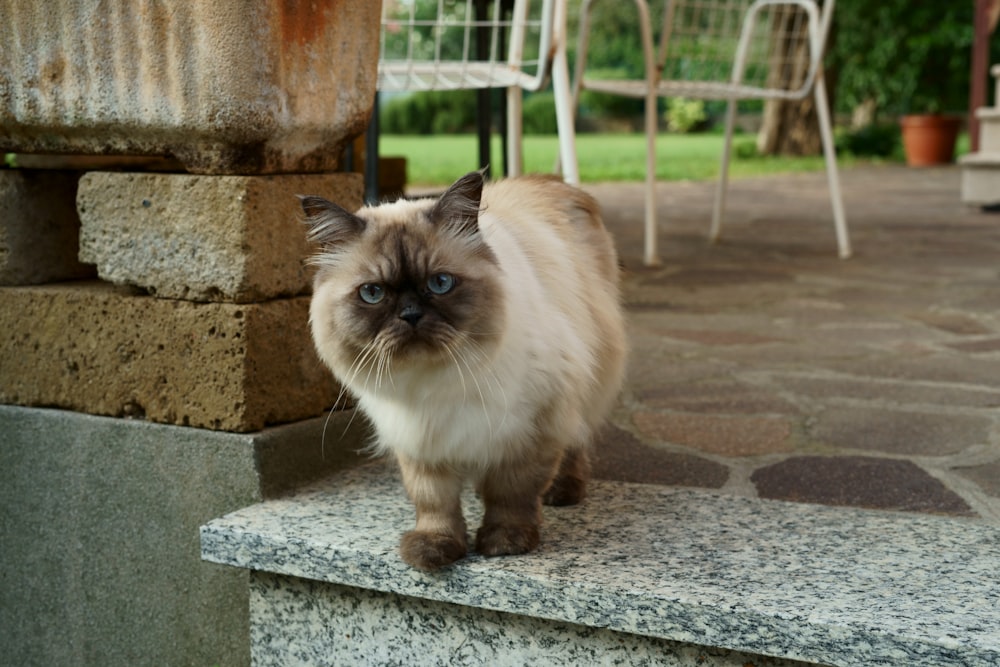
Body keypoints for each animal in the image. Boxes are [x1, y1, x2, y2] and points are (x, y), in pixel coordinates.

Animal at [300, 170, 624, 572]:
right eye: (373, 293)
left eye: (440, 284)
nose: (410, 315)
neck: (433, 384)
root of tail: (549, 179)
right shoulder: (420, 440)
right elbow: (434, 502)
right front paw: (435, 549)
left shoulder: (530, 429)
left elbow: (512, 494)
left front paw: (505, 542)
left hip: (586, 380)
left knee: (577, 440)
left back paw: (562, 493)